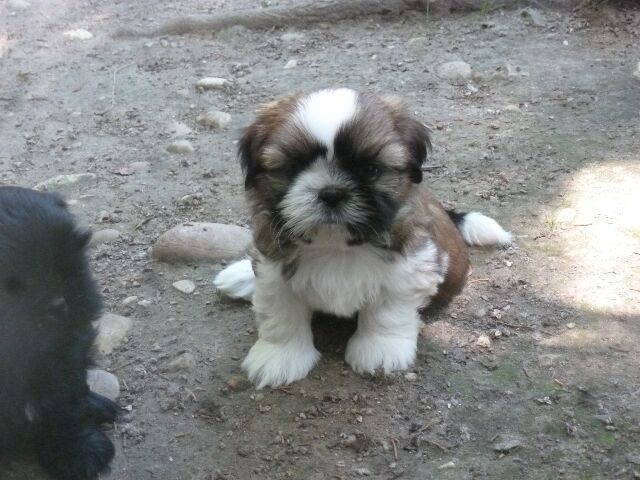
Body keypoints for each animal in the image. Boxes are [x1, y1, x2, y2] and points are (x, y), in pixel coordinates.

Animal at [0, 186, 118, 480]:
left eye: (66, 267)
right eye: (9, 284)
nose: (60, 302)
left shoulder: (63, 353)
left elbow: (65, 401)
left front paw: (75, 449)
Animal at [214, 88, 512, 389]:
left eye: (370, 169)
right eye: (294, 168)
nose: (331, 192)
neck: (335, 246)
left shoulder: (412, 263)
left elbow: (388, 310)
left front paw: (380, 349)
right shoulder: (273, 265)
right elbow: (280, 312)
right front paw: (280, 355)